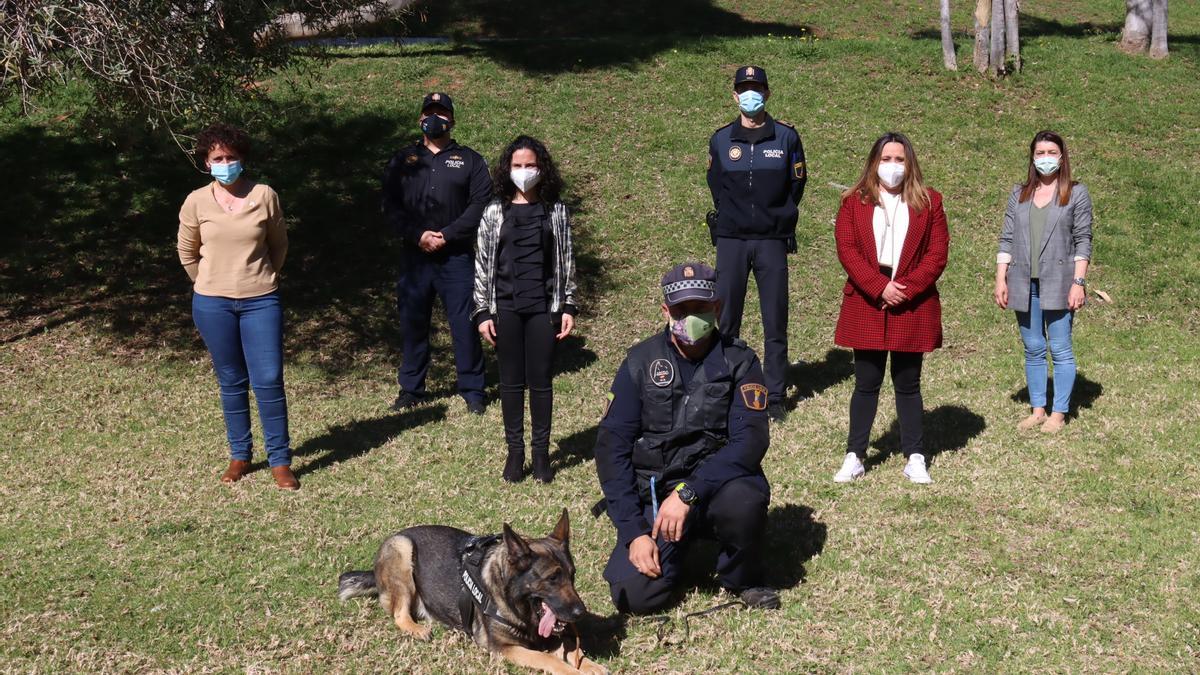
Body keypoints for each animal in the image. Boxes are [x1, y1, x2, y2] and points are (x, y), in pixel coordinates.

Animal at [340, 506, 609, 667]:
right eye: (552, 578)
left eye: (572, 576)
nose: (580, 613)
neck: (514, 603)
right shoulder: (504, 649)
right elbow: (550, 661)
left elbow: (575, 651)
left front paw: (592, 666)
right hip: (403, 548)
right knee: (399, 613)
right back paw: (415, 629)